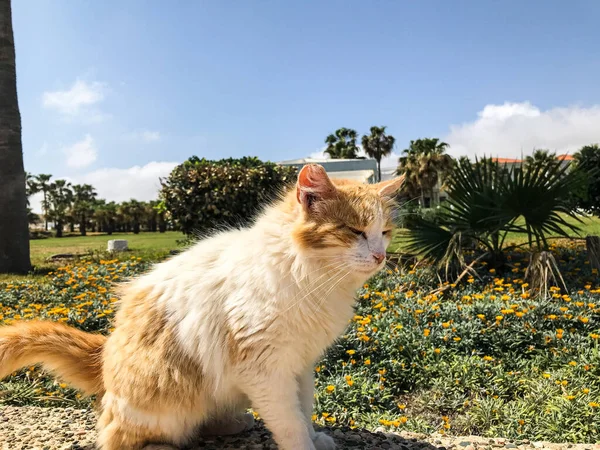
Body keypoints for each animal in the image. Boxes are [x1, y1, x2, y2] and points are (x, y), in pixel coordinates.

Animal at [0, 165, 406, 450]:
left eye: (384, 232)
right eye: (354, 231)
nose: (380, 256)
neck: (311, 276)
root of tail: (104, 354)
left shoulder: (301, 364)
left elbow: (303, 409)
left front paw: (314, 437)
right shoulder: (265, 367)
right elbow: (289, 422)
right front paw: (303, 444)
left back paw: (232, 422)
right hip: (165, 399)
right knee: (118, 437)